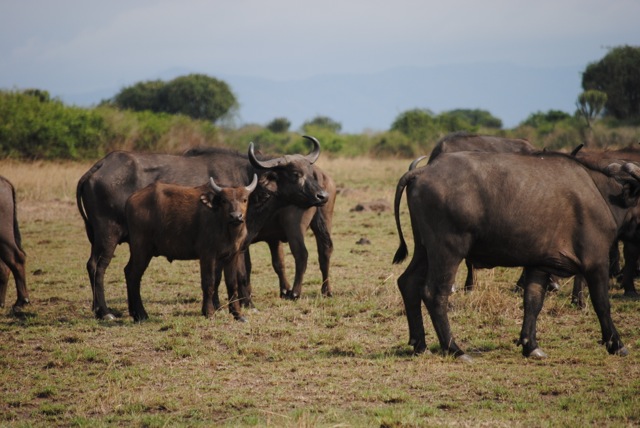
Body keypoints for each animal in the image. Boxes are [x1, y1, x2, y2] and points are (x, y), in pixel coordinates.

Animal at [124, 175, 256, 320]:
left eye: (244, 199)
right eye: (224, 200)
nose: (236, 216)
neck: (227, 229)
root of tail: (131, 199)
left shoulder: (232, 255)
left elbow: (232, 284)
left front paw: (238, 314)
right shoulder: (207, 255)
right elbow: (209, 282)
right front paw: (209, 312)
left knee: (128, 271)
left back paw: (134, 313)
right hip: (141, 249)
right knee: (134, 276)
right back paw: (141, 314)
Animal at [392, 152, 636, 360]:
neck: (602, 195)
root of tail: (423, 171)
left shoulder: (540, 265)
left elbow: (533, 302)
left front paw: (531, 346)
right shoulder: (596, 262)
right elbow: (602, 303)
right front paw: (617, 344)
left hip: (424, 249)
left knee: (408, 282)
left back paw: (420, 345)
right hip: (447, 250)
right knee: (435, 293)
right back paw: (455, 349)